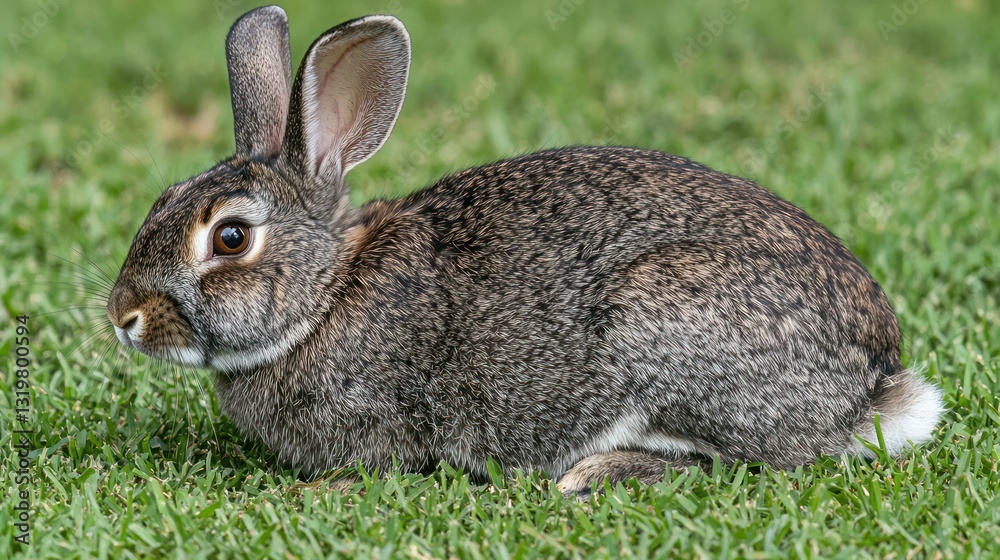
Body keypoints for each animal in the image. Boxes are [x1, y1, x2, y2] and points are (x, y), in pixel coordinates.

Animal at [105, 6, 944, 495]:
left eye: (231, 237)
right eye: (162, 198)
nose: (123, 316)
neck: (326, 294)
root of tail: (876, 383)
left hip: (661, 326)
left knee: (746, 460)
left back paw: (595, 474)